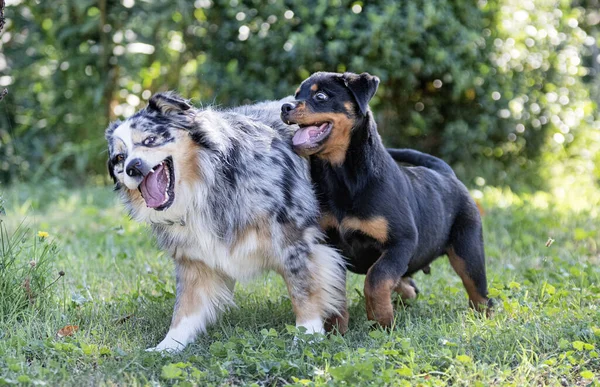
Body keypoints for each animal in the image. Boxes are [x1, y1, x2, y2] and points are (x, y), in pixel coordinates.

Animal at [105, 92, 344, 354]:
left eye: (150, 140)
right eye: (119, 158)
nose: (133, 167)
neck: (207, 183)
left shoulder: (295, 241)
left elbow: (303, 289)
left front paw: (307, 335)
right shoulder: (194, 260)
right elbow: (185, 307)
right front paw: (168, 346)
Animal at [278, 72, 490, 330]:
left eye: (320, 96)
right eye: (297, 95)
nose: (285, 107)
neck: (339, 177)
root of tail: (447, 174)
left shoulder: (401, 242)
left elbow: (376, 277)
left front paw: (381, 320)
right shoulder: (330, 245)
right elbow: (335, 288)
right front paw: (336, 328)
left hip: (468, 250)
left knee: (478, 290)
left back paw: (486, 319)